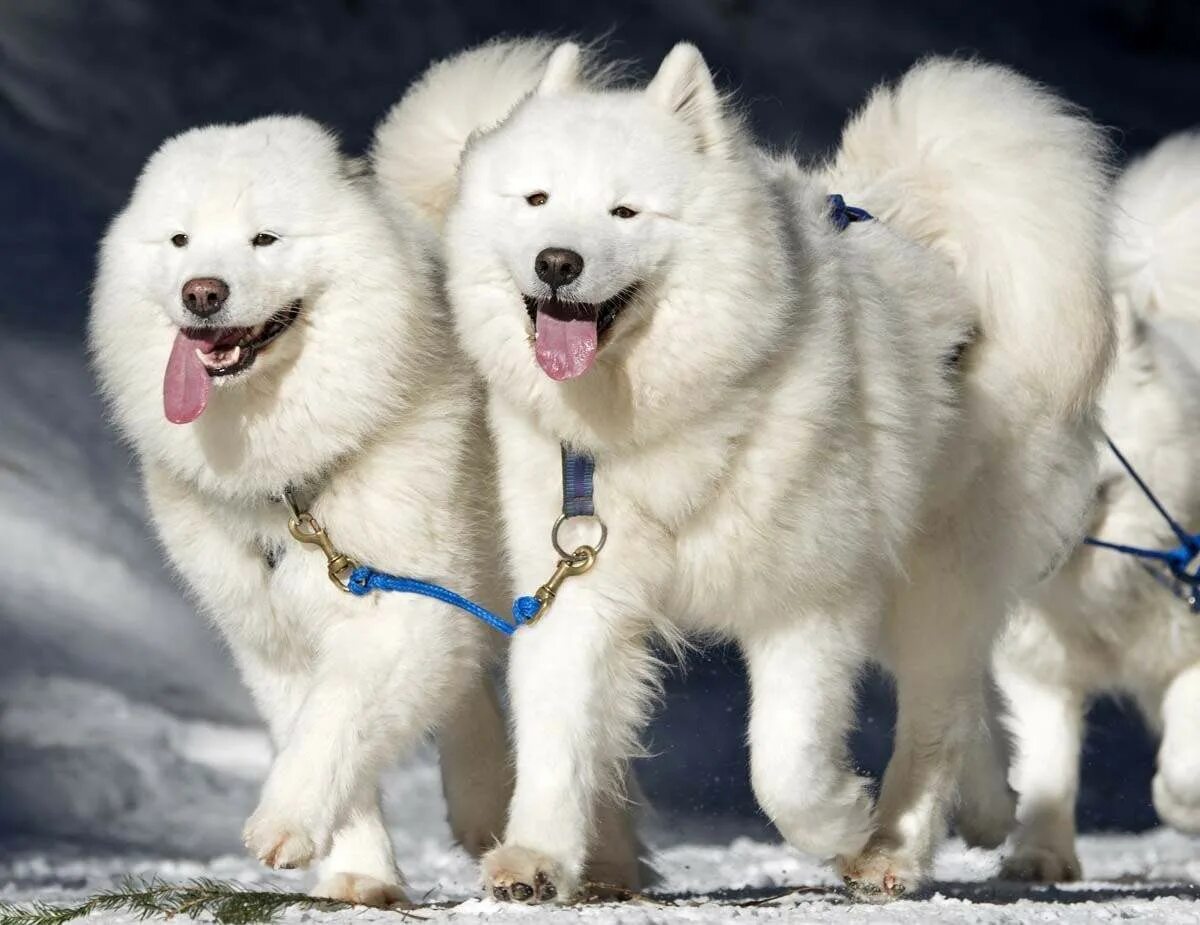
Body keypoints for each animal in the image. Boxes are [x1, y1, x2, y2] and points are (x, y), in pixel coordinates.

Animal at [87, 103, 535, 902]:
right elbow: (320, 733)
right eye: (179, 241)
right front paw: (361, 874)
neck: (291, 484)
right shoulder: (271, 633)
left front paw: (282, 820)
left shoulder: (401, 606)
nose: (201, 292)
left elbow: (335, 720)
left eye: (265, 239)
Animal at [388, 39, 1108, 902]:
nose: (557, 261)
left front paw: (844, 820)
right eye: (536, 198)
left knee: (939, 707)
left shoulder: (811, 602)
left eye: (625, 213)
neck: (665, 420)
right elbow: (558, 739)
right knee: (966, 698)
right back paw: (984, 810)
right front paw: (536, 857)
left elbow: (783, 767)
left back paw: (893, 849)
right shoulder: (578, 584)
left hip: (938, 574)